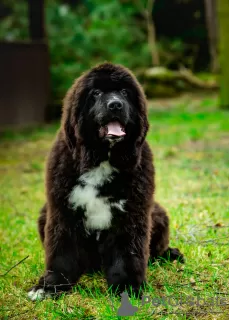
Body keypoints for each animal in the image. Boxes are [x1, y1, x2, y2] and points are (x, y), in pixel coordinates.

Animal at [27, 63, 183, 302]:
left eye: (125, 92)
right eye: (96, 93)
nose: (115, 104)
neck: (102, 158)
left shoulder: (132, 214)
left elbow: (128, 254)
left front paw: (128, 288)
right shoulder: (62, 211)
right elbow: (61, 253)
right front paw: (50, 286)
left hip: (158, 214)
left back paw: (170, 254)